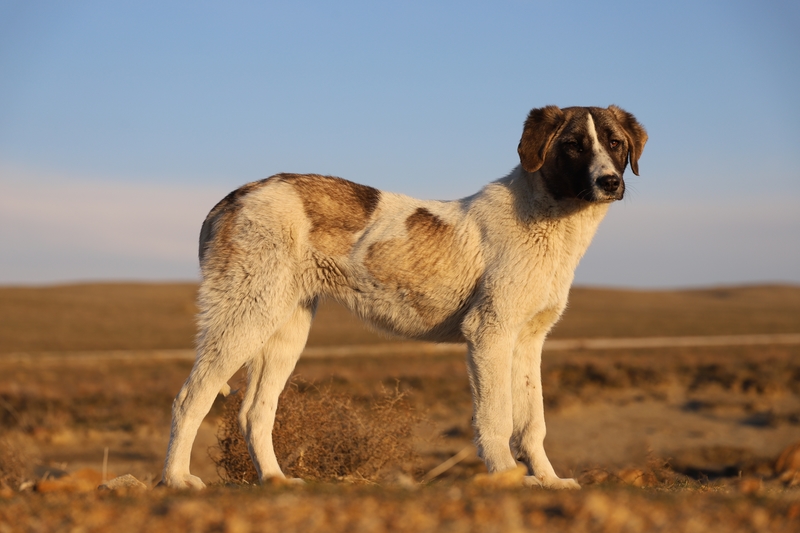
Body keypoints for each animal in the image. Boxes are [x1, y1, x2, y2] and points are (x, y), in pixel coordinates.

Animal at [162, 105, 648, 490]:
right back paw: (176, 479)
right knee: (191, 397)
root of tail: (230, 199)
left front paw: (548, 479)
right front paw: (507, 476)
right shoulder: (489, 334)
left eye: (615, 143)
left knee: (254, 412)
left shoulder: (528, 341)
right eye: (573, 146)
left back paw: (274, 479)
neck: (549, 216)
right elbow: (496, 418)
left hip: (283, 329)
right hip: (244, 316)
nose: (609, 182)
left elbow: (532, 423)